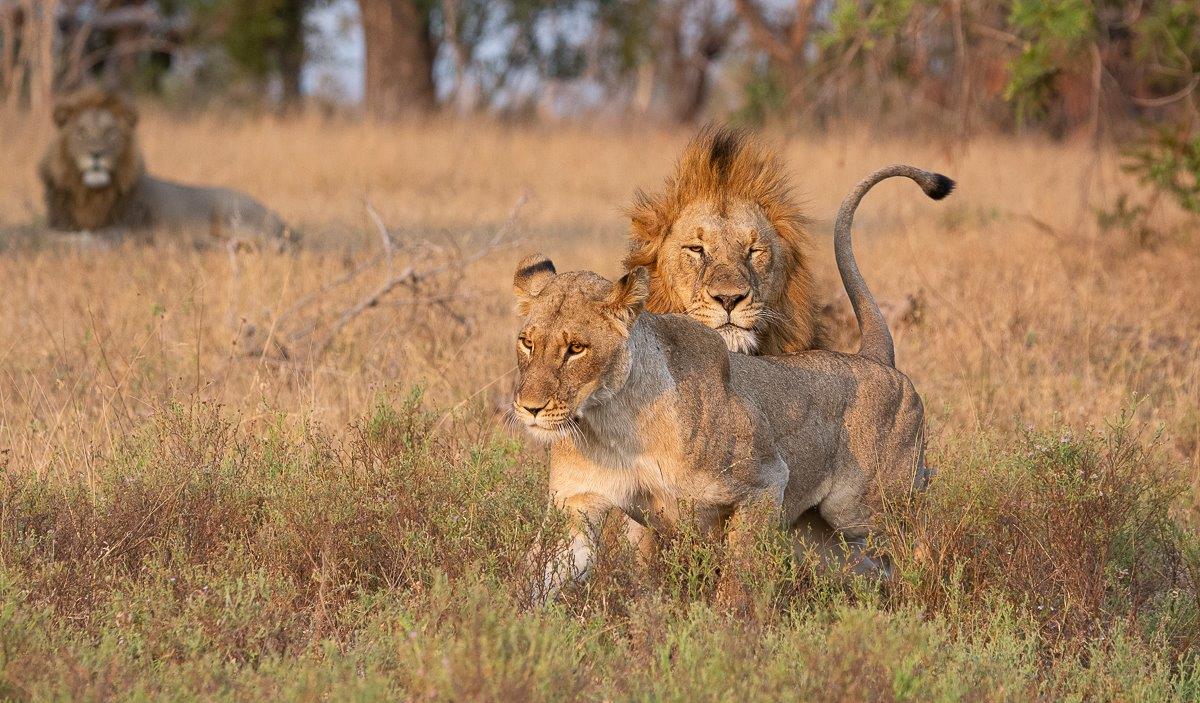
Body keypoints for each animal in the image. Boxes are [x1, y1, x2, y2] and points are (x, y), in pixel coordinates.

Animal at [38, 87, 294, 247]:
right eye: (81, 133)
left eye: (110, 133)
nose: (96, 153)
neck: (90, 194)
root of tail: (278, 217)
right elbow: (52, 234)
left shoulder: (131, 228)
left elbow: (98, 236)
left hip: (229, 214)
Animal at [512, 165, 953, 603]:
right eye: (527, 342)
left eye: (576, 349)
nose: (529, 408)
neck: (613, 424)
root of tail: (873, 358)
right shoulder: (578, 503)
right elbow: (540, 575)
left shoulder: (766, 480)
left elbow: (739, 577)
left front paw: (731, 620)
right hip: (819, 539)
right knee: (875, 568)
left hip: (861, 508)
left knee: (921, 536)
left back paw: (930, 592)